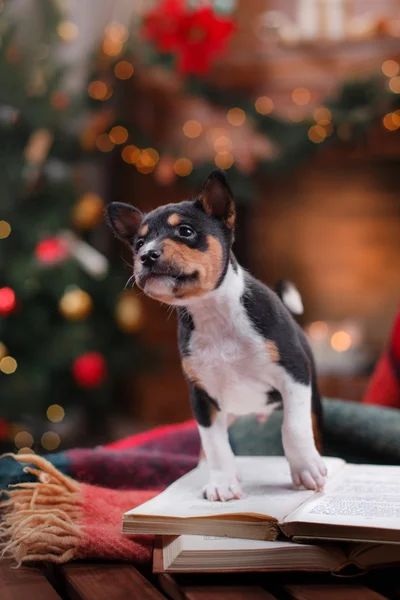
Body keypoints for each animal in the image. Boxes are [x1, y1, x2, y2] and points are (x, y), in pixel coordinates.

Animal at [106, 170, 324, 502]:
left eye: (185, 231)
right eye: (139, 242)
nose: (146, 255)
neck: (214, 315)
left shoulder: (294, 375)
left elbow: (293, 428)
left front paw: (306, 469)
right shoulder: (202, 397)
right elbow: (216, 445)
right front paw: (222, 482)